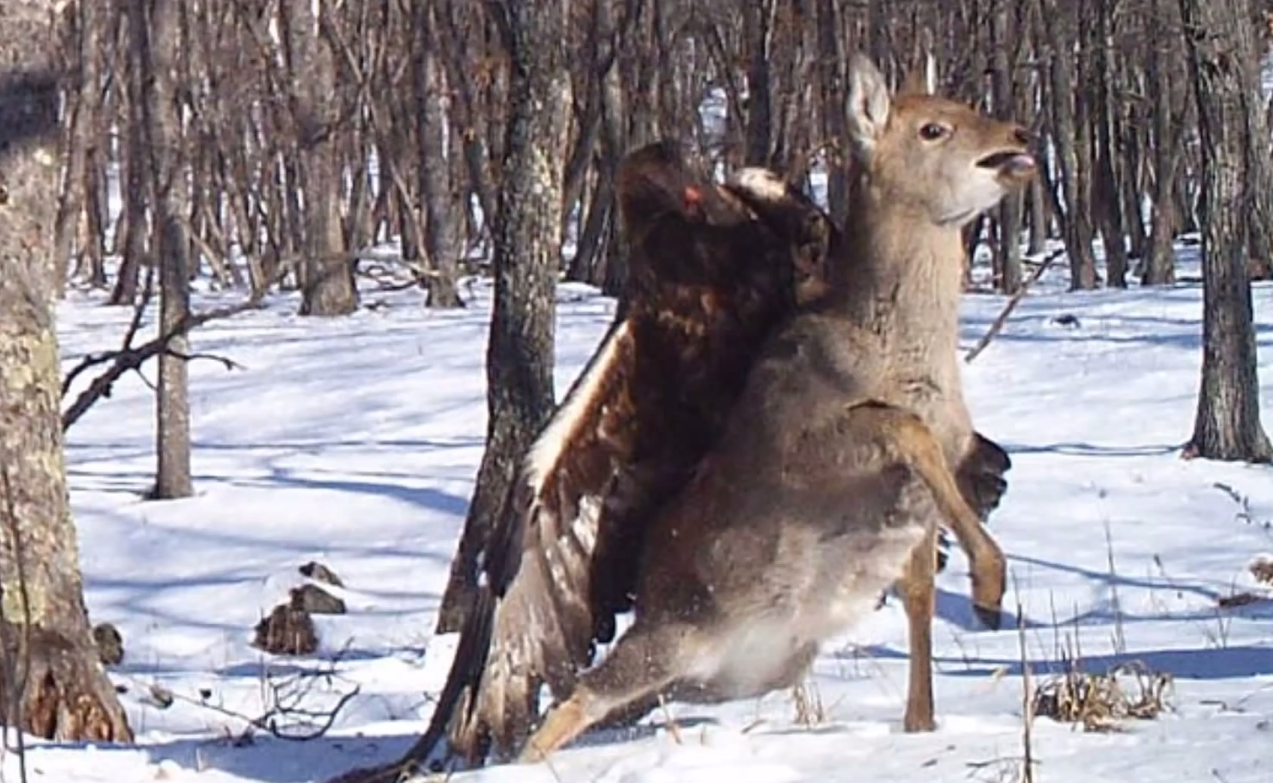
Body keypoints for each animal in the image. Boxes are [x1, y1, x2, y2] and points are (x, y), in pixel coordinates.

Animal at [516, 56, 1033, 763]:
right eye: (933, 127)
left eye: (964, 105)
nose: (1020, 137)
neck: (903, 358)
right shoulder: (806, 446)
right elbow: (899, 426)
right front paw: (988, 588)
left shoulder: (933, 483)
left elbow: (921, 595)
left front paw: (924, 720)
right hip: (671, 635)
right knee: (577, 698)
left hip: (740, 669)